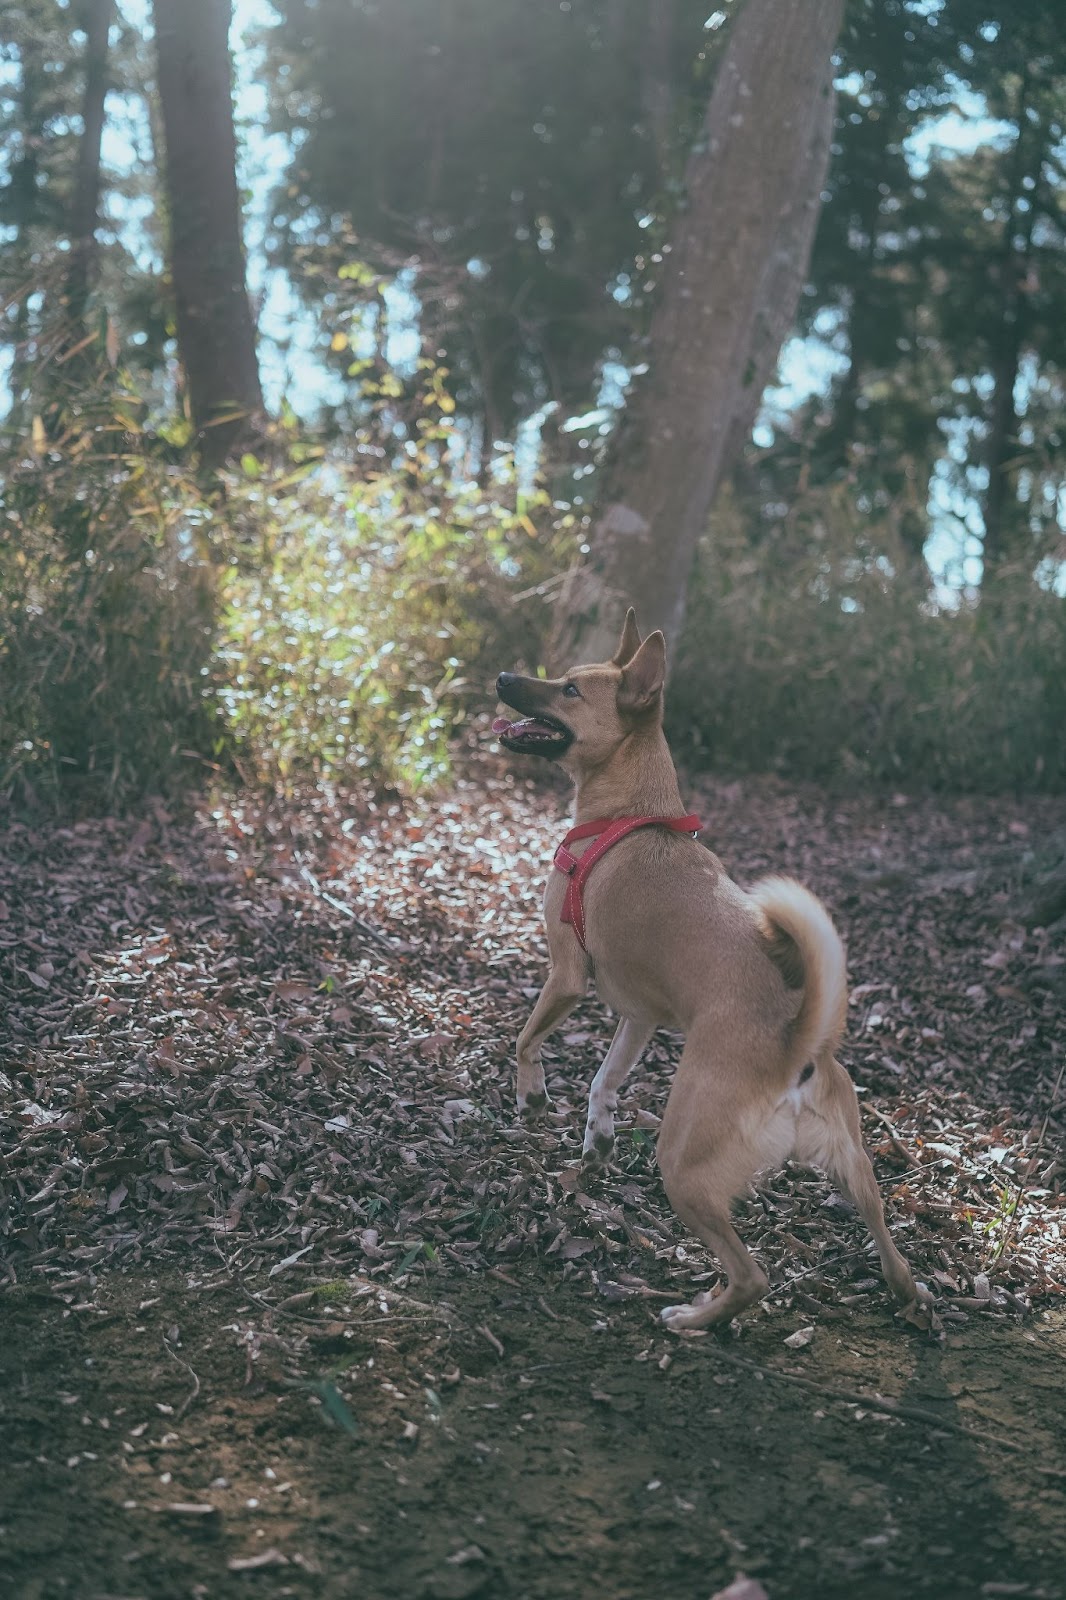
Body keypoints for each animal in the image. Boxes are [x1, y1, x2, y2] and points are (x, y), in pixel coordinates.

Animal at [489, 604, 915, 1331]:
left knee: (753, 1277)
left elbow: (524, 1040)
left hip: (682, 1167)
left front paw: (532, 1096)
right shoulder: (638, 1018)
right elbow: (604, 1080)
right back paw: (911, 1299)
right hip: (853, 1170)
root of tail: (795, 1048)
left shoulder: (566, 975)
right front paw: (596, 1141)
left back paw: (693, 1318)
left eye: (570, 689)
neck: (633, 817)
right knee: (891, 1248)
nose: (503, 677)